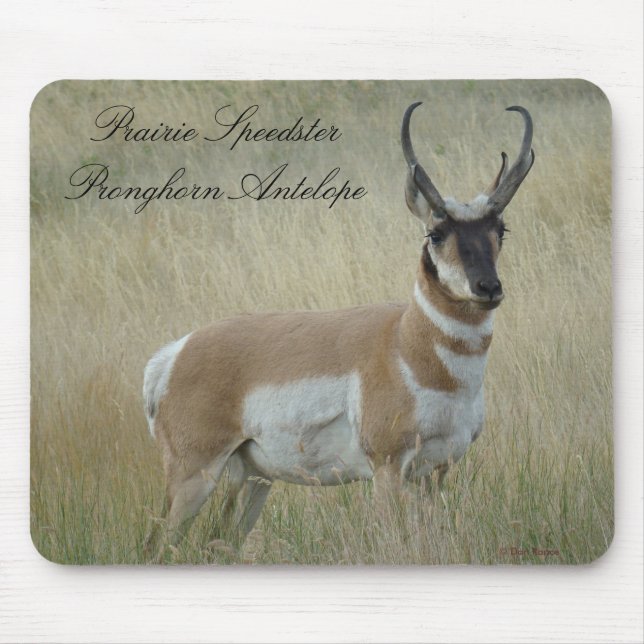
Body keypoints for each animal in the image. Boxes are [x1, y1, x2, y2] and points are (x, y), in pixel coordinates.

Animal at [142, 102, 534, 560]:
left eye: (500, 229)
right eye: (436, 233)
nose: (488, 287)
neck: (405, 343)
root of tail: (175, 353)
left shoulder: (436, 472)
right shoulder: (387, 469)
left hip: (252, 477)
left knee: (218, 542)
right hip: (194, 474)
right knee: (155, 545)